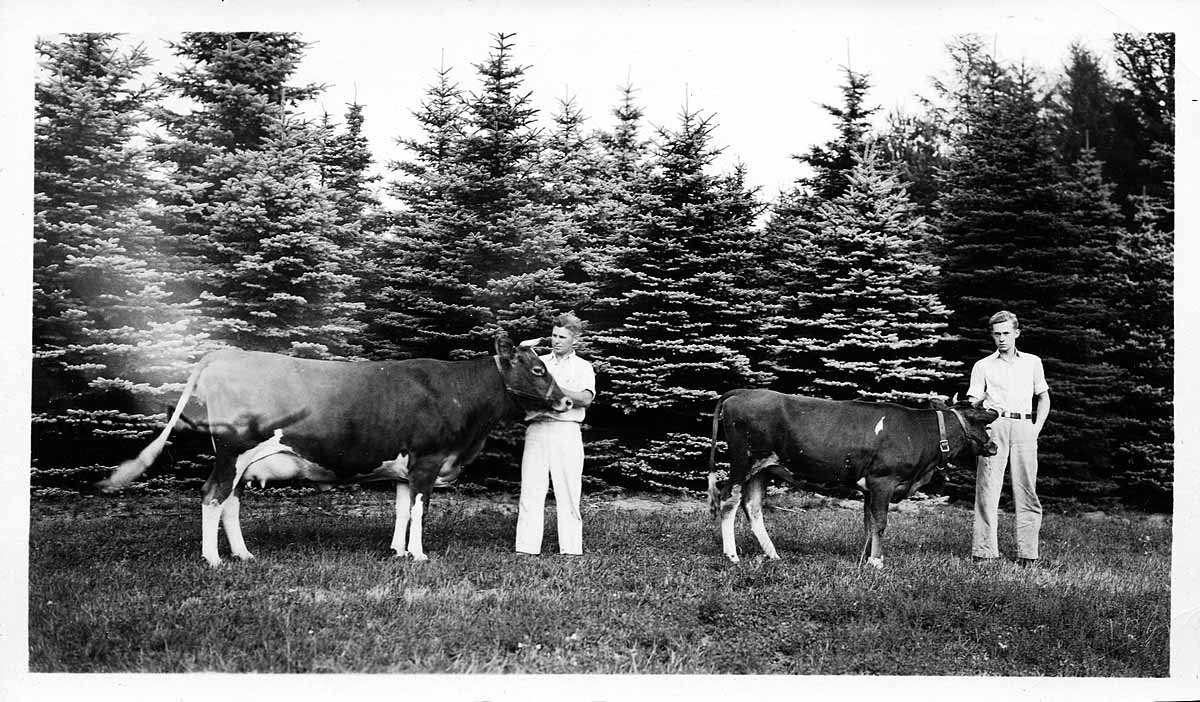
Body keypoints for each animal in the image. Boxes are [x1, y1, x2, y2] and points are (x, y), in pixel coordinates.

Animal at [96, 336, 573, 566]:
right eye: (537, 369)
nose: (568, 401)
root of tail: (227, 354)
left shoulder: (405, 468)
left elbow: (401, 509)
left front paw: (398, 551)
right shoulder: (428, 461)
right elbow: (419, 511)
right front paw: (419, 554)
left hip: (240, 461)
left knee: (229, 502)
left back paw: (243, 555)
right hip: (233, 451)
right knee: (212, 497)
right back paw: (213, 560)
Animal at [705, 391, 998, 566]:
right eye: (983, 423)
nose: (993, 446)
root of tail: (741, 392)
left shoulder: (869, 487)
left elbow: (868, 523)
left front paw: (865, 557)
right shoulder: (883, 480)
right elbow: (880, 522)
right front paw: (876, 562)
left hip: (763, 468)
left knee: (752, 506)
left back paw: (773, 554)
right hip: (744, 461)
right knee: (729, 499)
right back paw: (732, 555)